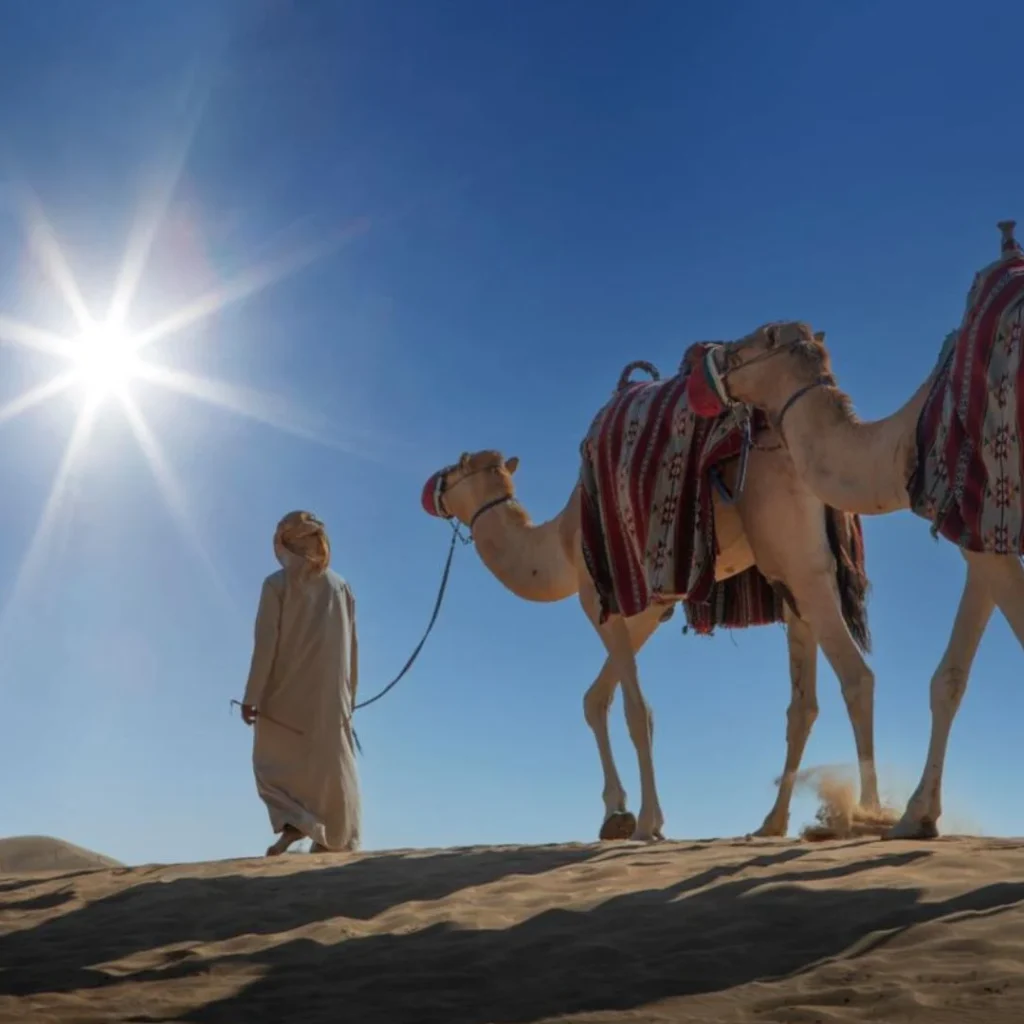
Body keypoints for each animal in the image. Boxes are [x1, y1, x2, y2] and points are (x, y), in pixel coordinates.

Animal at [420, 364, 877, 842]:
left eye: (453, 469)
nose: (429, 487)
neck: (559, 542)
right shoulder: (651, 607)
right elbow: (595, 699)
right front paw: (615, 814)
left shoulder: (595, 595)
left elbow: (636, 710)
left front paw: (647, 822)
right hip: (788, 576)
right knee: (803, 704)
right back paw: (771, 822)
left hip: (798, 555)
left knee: (856, 676)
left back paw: (871, 814)